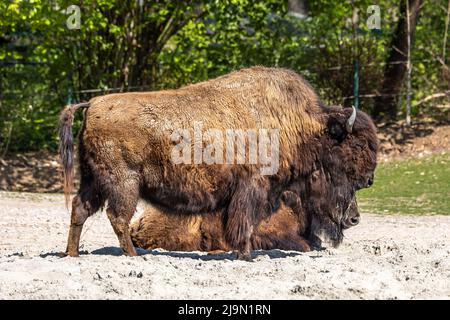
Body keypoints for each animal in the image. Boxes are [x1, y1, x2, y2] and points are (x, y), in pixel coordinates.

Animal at [58, 67, 378, 260]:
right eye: (354, 147)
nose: (369, 179)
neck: (303, 127)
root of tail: (93, 104)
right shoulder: (252, 189)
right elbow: (244, 225)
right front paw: (246, 256)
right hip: (123, 184)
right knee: (117, 217)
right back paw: (133, 256)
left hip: (93, 180)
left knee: (80, 209)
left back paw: (72, 254)